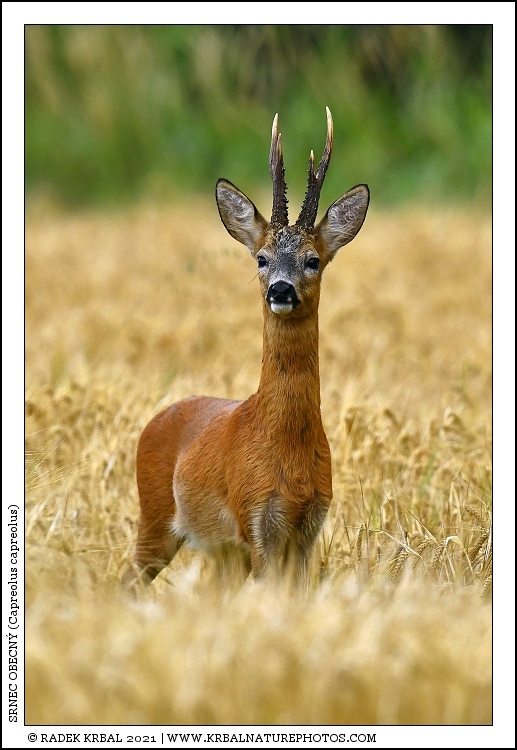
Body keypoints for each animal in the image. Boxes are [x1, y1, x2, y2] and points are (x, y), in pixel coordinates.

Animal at [129, 107, 369, 586]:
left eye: (313, 260)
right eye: (261, 258)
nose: (280, 289)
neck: (287, 452)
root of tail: (156, 418)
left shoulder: (309, 526)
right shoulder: (257, 520)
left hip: (220, 551)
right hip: (156, 518)